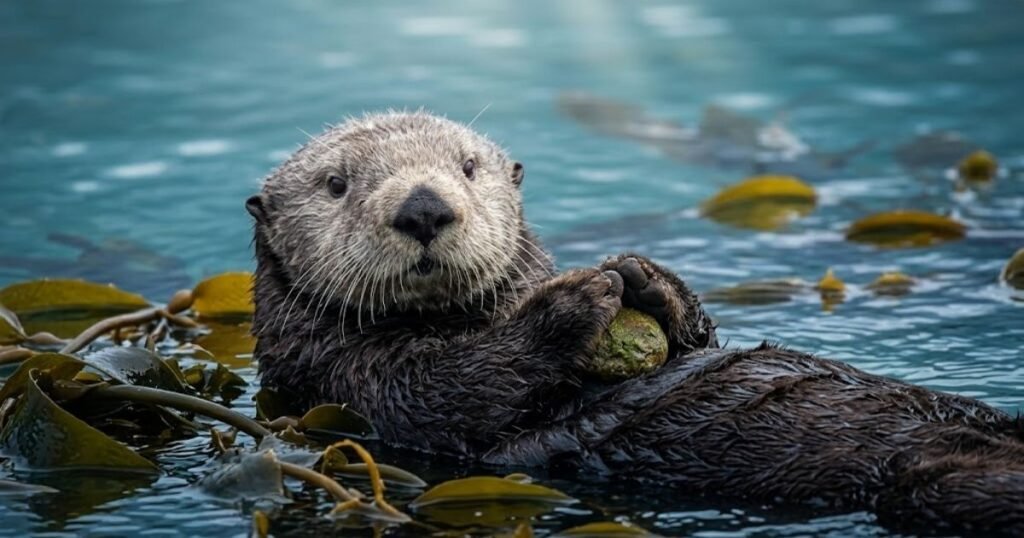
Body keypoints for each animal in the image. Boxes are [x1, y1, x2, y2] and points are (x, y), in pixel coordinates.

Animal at [247, 112, 1024, 534]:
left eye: (467, 167)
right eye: (336, 184)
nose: (424, 208)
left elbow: (694, 341)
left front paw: (645, 278)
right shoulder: (349, 382)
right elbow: (451, 393)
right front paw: (570, 304)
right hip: (931, 484)